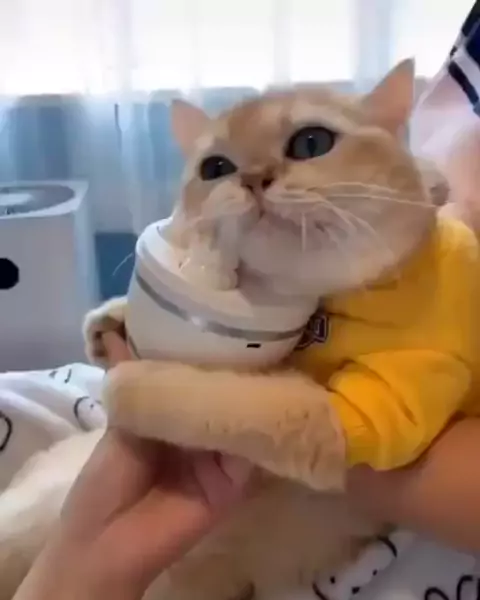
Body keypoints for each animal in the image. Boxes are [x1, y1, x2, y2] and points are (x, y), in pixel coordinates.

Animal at [0, 59, 466, 600]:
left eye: (312, 142)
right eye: (215, 167)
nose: (252, 178)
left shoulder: (337, 419)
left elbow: (222, 399)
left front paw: (131, 381)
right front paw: (109, 320)